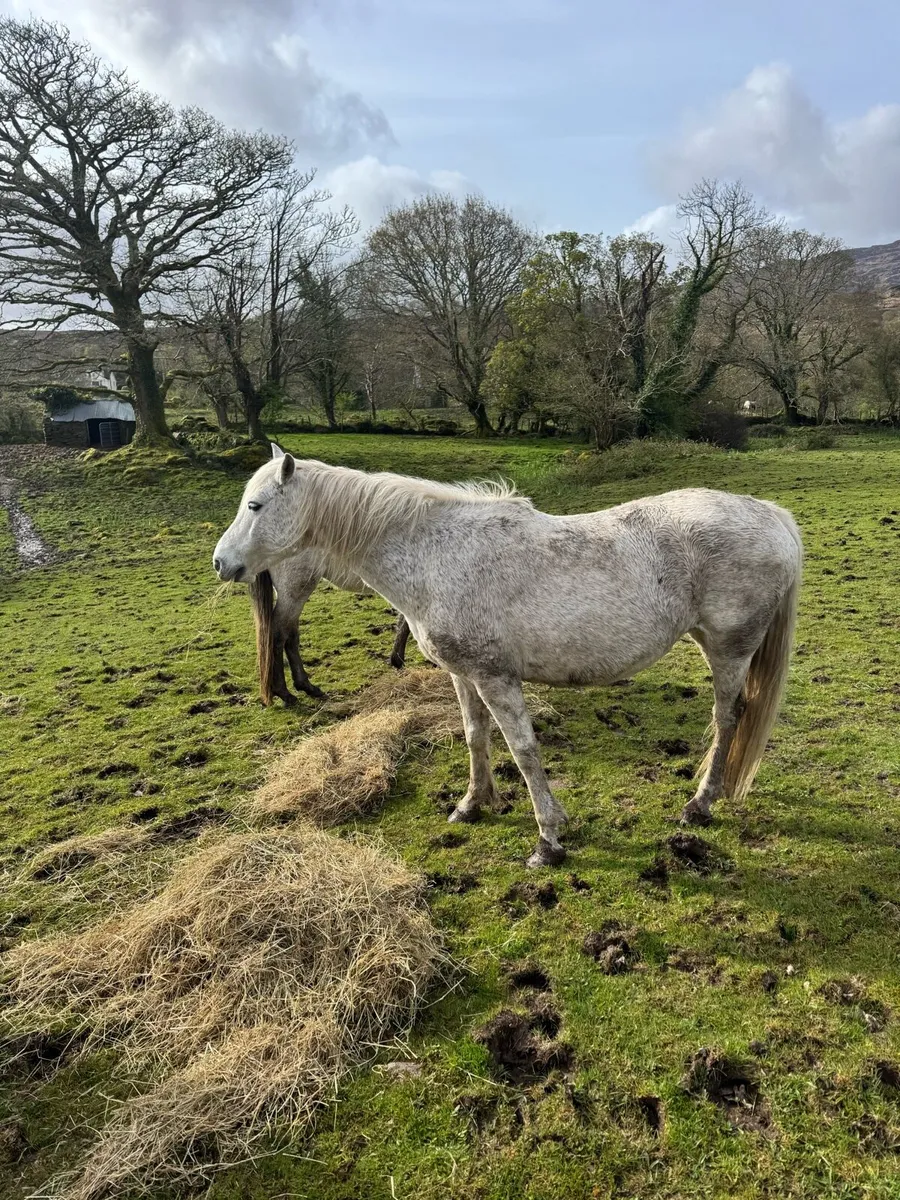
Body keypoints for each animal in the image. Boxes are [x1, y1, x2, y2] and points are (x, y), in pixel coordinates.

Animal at [249, 552, 411, 706]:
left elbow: (404, 623)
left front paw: (397, 660)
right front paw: (399, 660)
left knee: (290, 636)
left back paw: (306, 686)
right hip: (296, 590)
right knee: (278, 635)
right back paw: (284, 692)